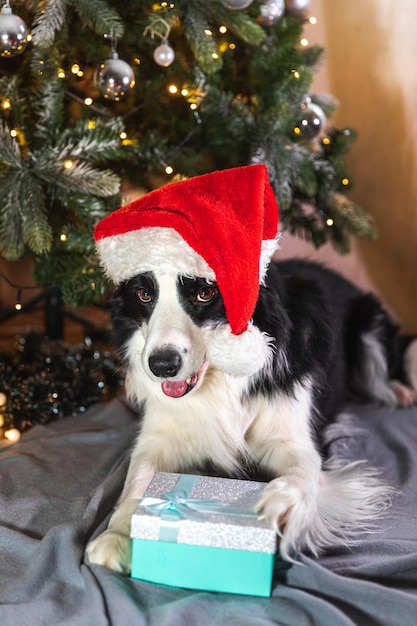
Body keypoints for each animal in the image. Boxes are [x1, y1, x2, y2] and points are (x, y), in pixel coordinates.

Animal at [85, 165, 416, 572]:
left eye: (205, 293)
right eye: (144, 294)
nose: (162, 366)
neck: (220, 384)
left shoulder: (294, 436)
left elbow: (302, 472)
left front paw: (281, 505)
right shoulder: (158, 434)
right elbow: (136, 479)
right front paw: (116, 535)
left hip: (371, 325)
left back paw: (400, 390)